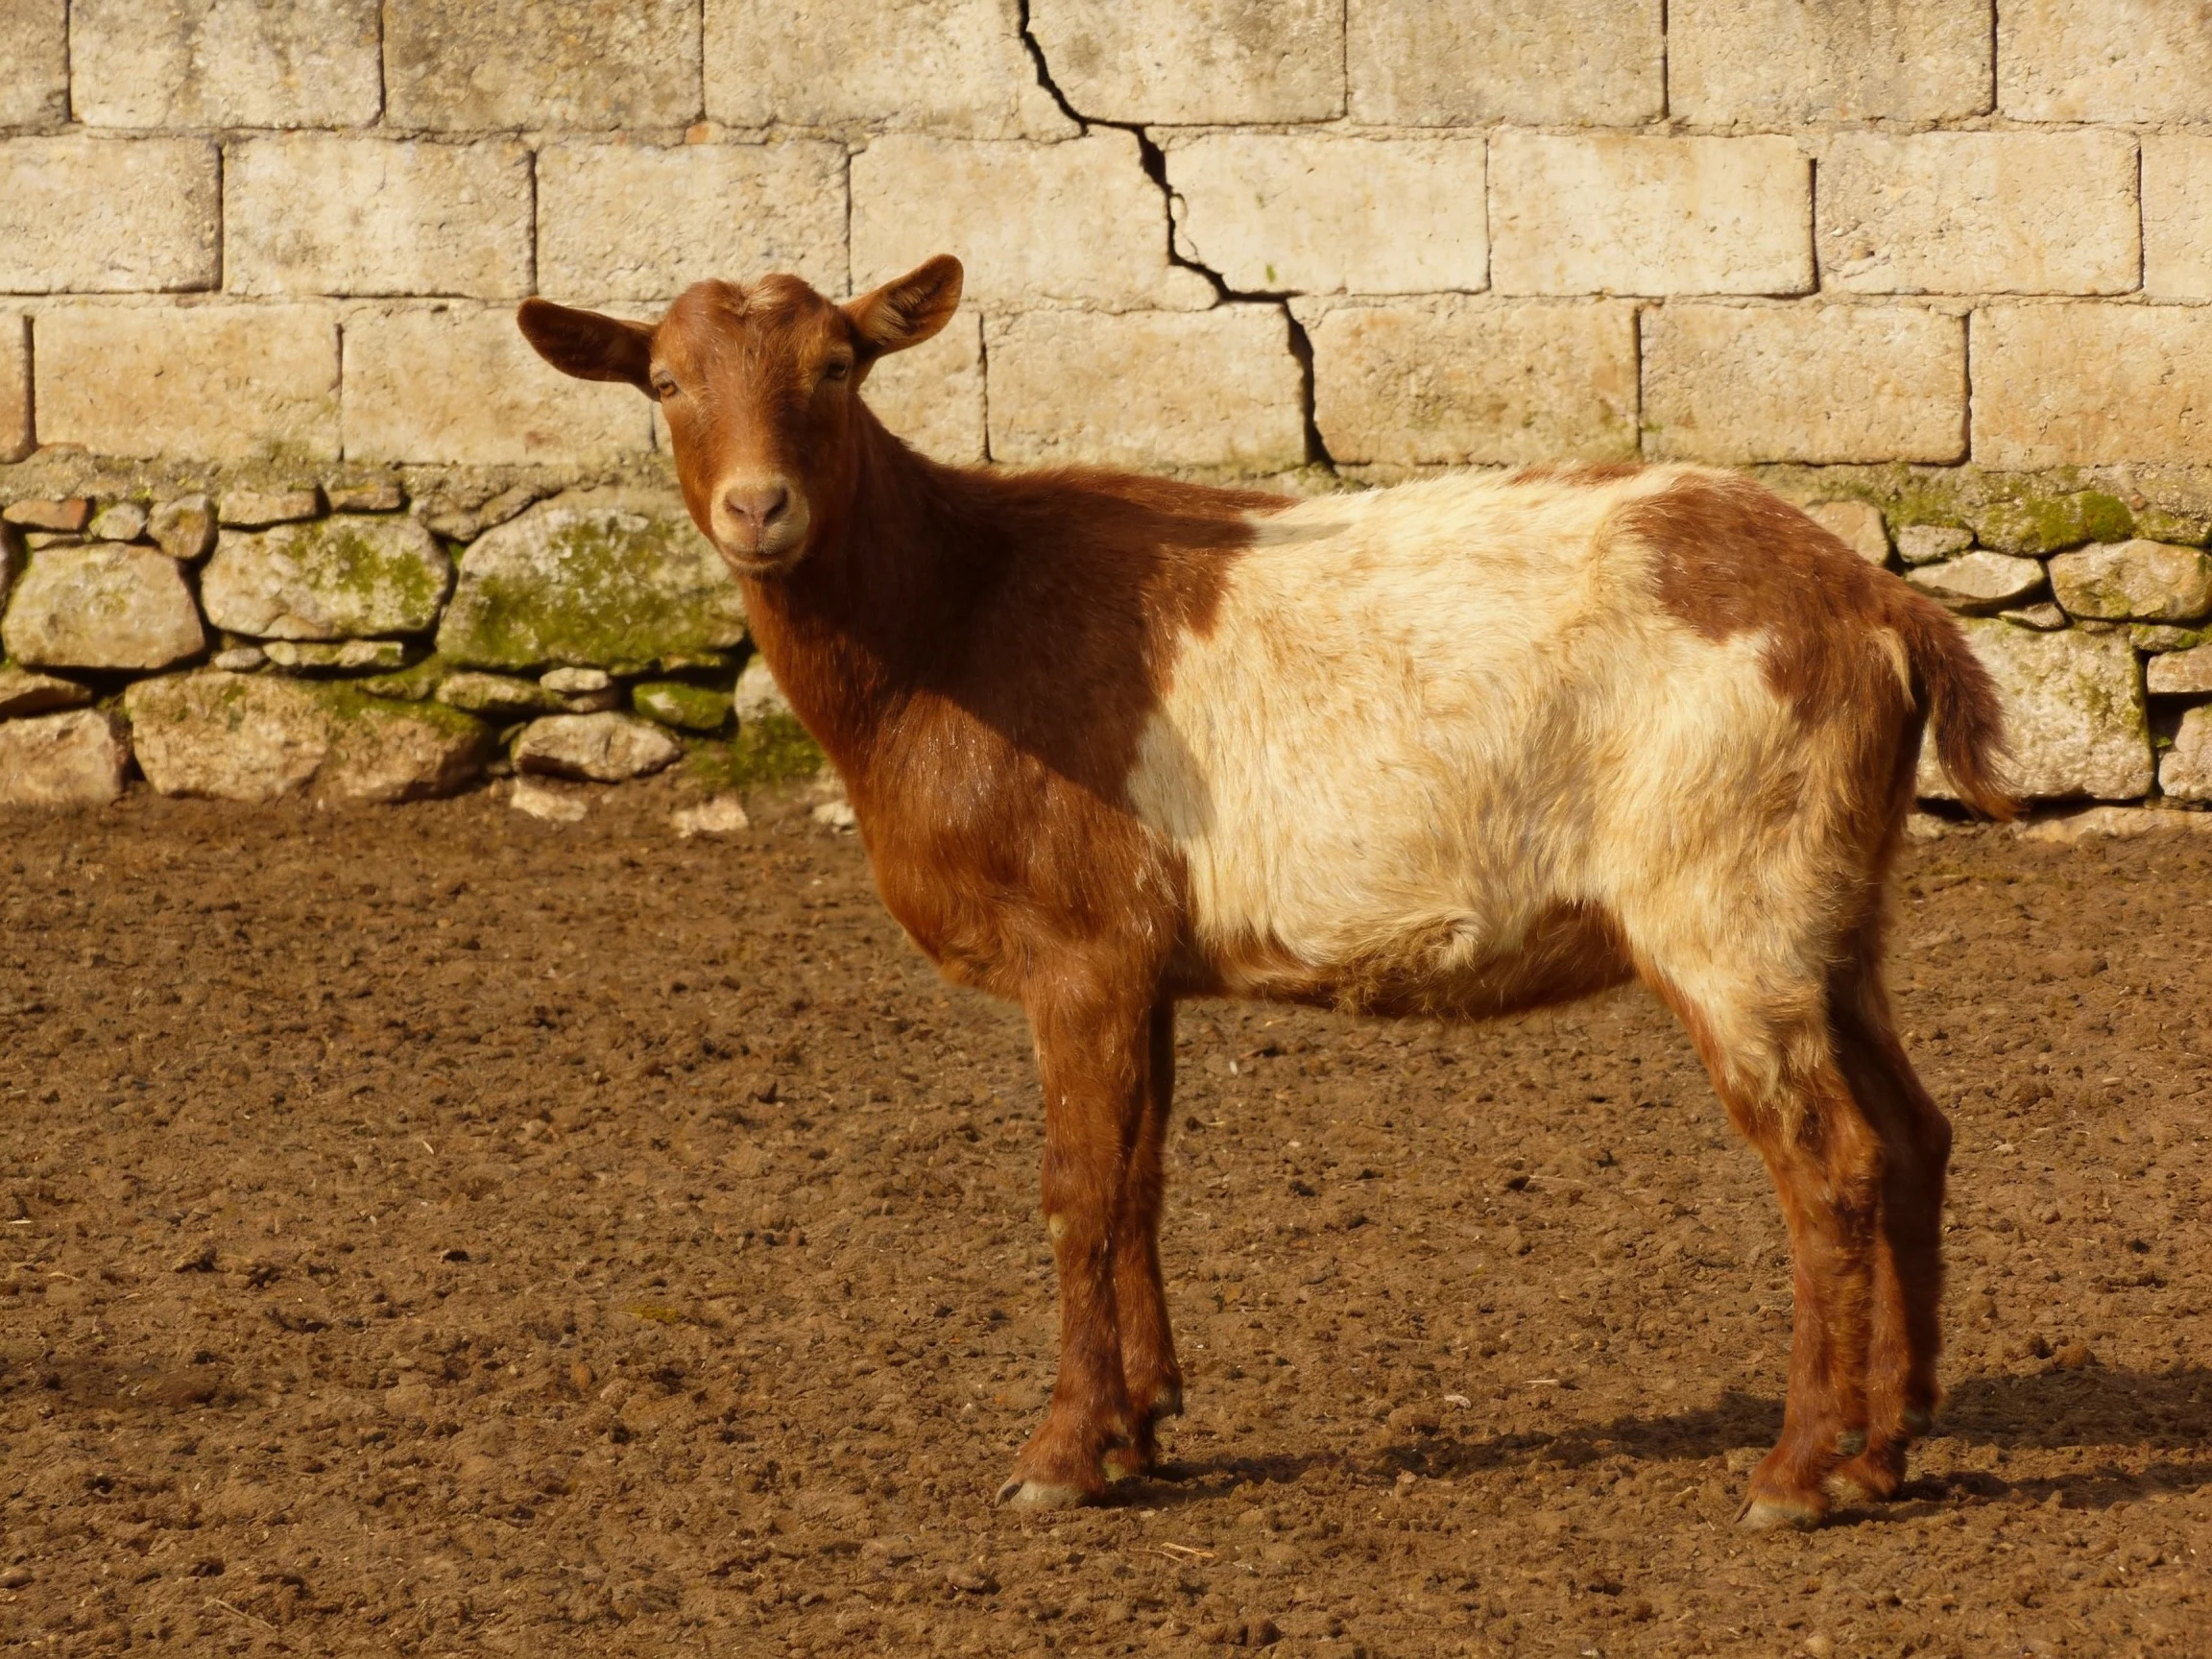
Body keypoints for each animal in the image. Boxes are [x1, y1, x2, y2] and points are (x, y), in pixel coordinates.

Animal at [517, 257, 2013, 1530]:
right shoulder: (1142, 956)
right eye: (664, 380)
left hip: (1726, 893)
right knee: (1916, 1134)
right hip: (1834, 900)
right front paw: (1141, 1428)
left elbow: (1076, 1190)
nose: (758, 510)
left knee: (1829, 1164)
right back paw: (1886, 1450)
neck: (948, 621)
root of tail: (1881, 606)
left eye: (838, 366)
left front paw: (1059, 1460)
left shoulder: (1079, 944)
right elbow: (1141, 1176)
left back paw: (1797, 1473)